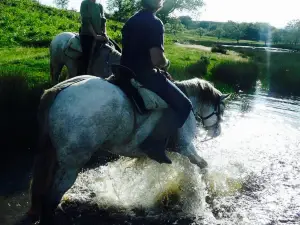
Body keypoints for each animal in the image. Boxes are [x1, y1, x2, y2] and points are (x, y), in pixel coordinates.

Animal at [27, 73, 230, 224]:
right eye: (221, 109)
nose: (217, 132)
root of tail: (61, 89)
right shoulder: (186, 148)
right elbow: (203, 165)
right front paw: (207, 190)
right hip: (72, 163)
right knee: (53, 196)